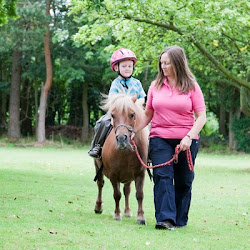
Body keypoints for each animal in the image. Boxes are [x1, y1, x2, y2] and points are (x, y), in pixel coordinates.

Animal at [94, 93, 148, 225]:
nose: (122, 139)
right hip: (97, 166)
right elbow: (117, 195)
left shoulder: (140, 174)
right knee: (100, 184)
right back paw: (98, 207)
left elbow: (139, 194)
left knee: (127, 190)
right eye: (113, 115)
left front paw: (140, 217)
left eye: (132, 114)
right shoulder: (114, 175)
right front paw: (117, 215)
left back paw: (127, 212)